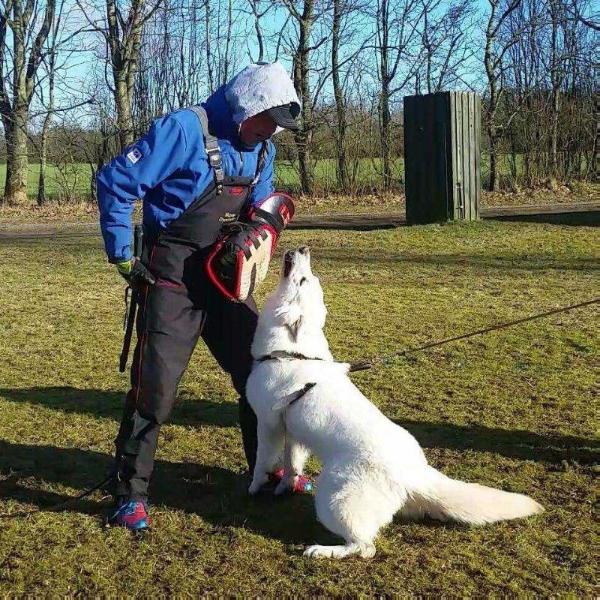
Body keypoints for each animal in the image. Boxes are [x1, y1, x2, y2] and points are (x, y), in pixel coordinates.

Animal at [246, 246, 548, 560]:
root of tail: (416, 473)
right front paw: (284, 487)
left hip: (333, 497)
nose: (302, 249)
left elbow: (262, 460)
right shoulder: (292, 431)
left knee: (365, 547)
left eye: (304, 280)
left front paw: (255, 488)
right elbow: (291, 463)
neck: (291, 353)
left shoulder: (267, 424)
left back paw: (322, 550)